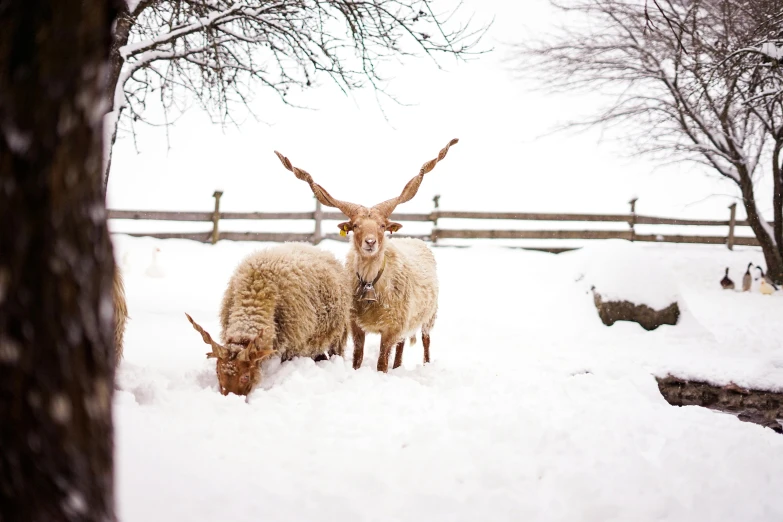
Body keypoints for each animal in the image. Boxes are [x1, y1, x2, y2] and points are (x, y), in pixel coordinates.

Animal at [185, 243, 350, 394]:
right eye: (218, 372)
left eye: (245, 376)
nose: (229, 398)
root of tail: (320, 250)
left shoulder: (292, 347)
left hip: (339, 334)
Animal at [276, 137, 460, 370]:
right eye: (355, 225)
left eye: (382, 225)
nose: (370, 242)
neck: (372, 282)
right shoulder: (357, 324)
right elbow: (358, 356)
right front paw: (357, 369)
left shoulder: (391, 326)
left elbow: (382, 360)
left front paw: (382, 373)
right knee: (401, 345)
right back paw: (398, 367)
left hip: (429, 314)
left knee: (426, 340)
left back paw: (426, 365)